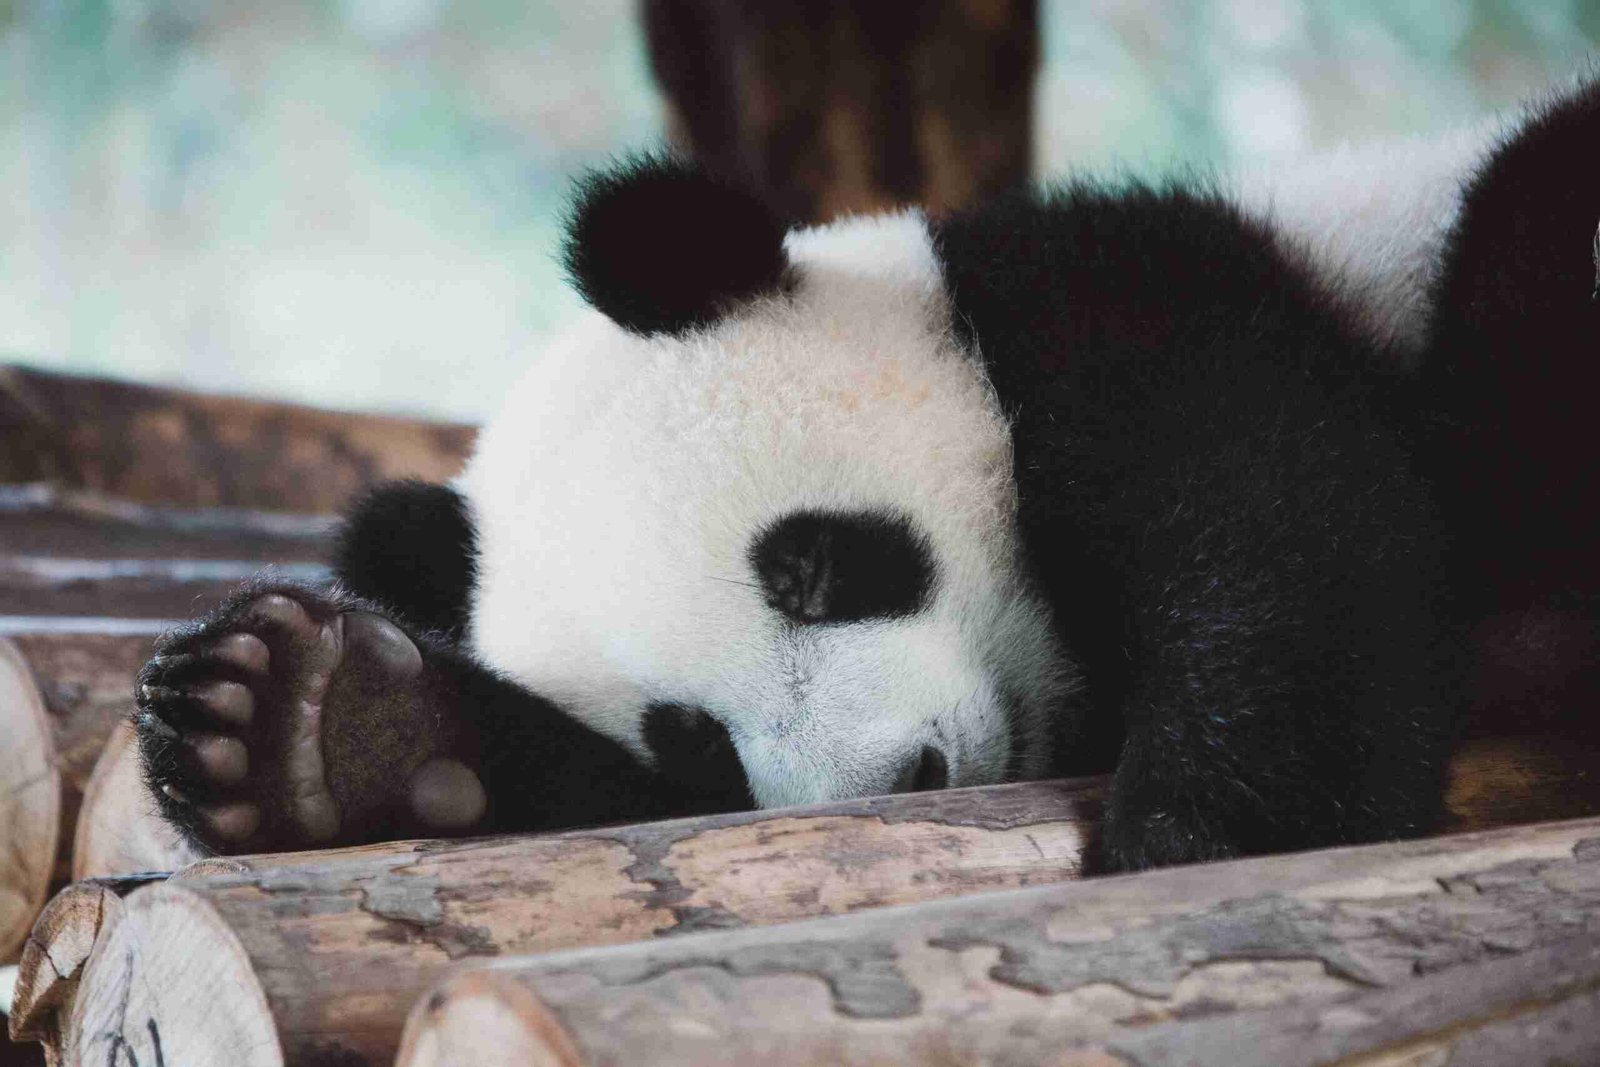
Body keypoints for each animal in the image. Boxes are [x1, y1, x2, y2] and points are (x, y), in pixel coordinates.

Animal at [134, 77, 1600, 876]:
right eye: (689, 732)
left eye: (811, 563)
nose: (900, 776)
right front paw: (319, 724)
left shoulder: (1132, 307)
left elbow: (1277, 523)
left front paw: (1210, 825)